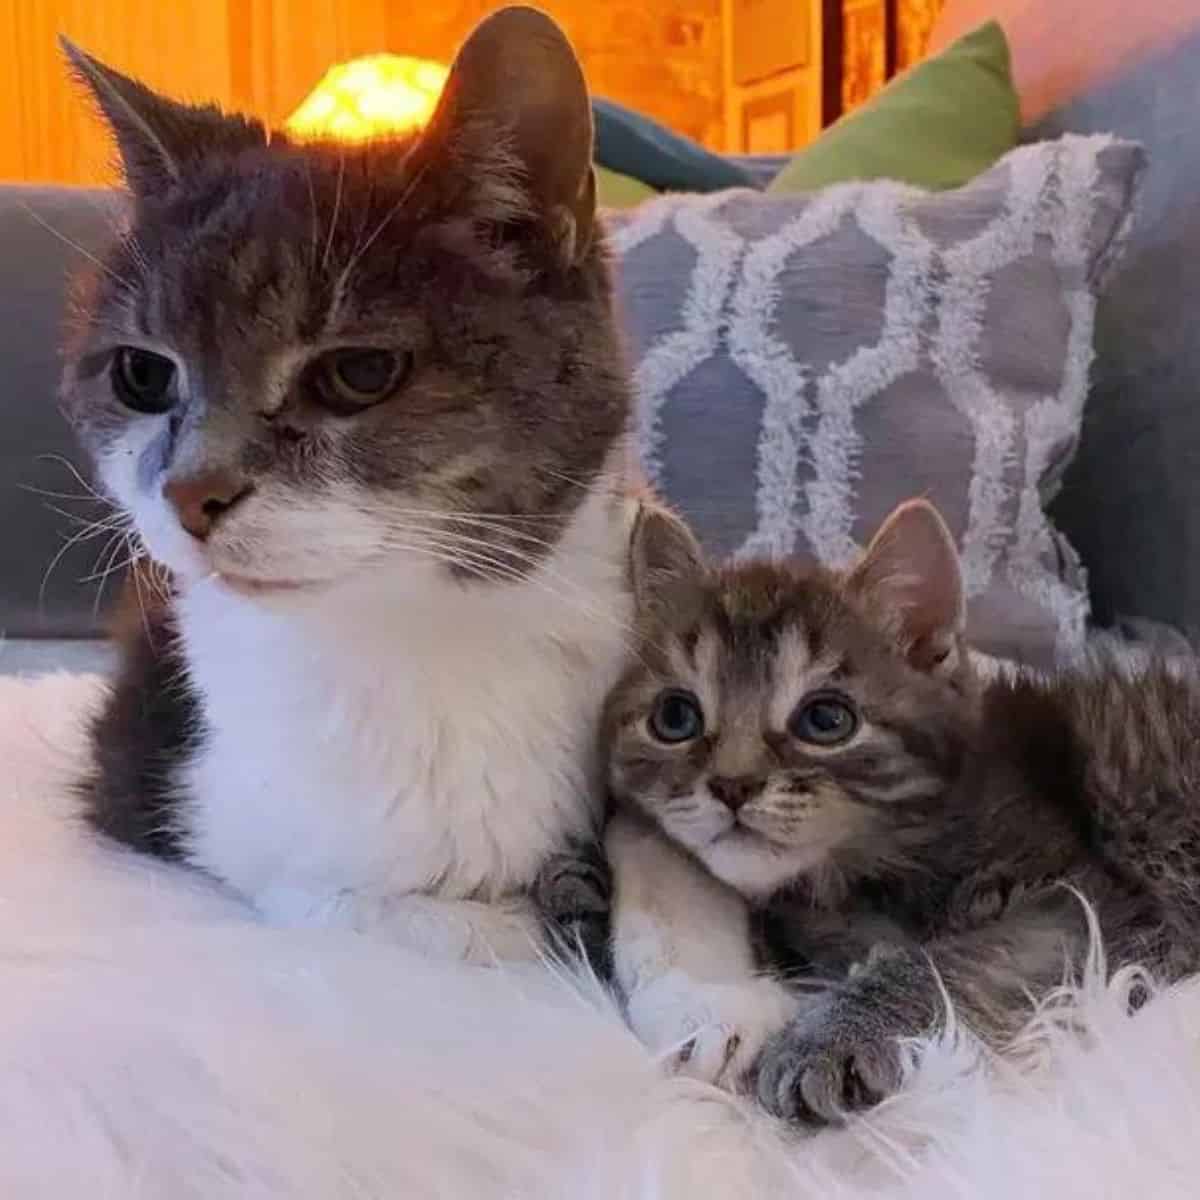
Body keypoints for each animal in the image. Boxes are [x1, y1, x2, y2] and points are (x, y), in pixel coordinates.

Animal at [60, 7, 638, 964]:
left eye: (358, 374)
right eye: (143, 375)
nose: (191, 492)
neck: (406, 641)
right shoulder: (186, 792)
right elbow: (361, 903)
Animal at [604, 496, 1200, 1123]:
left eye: (825, 719)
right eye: (675, 717)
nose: (731, 784)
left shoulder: (1091, 902)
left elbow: (947, 961)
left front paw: (830, 1035)